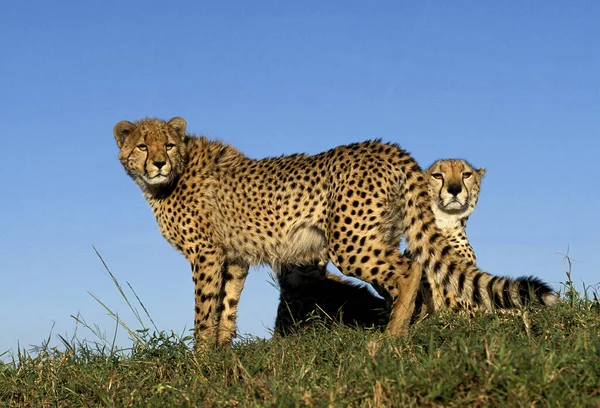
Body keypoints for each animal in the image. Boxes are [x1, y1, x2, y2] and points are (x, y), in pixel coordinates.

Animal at [113, 116, 556, 346]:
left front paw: (200, 356)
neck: (172, 177)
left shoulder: (206, 254)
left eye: (168, 145)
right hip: (379, 233)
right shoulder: (234, 256)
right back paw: (419, 327)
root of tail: (385, 146)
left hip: (350, 241)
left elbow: (205, 307)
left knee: (410, 268)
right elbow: (228, 305)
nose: (157, 163)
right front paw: (223, 352)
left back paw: (392, 337)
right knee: (422, 268)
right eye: (142, 146)